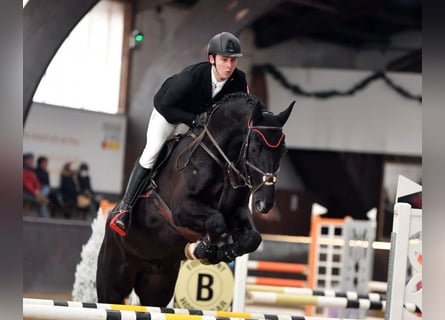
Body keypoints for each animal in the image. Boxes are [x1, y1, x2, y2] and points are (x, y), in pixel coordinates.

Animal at [95, 92, 294, 304]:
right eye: (255, 149)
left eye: (283, 151)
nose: (265, 203)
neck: (220, 159)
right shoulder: (181, 209)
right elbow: (216, 221)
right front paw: (202, 250)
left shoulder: (235, 212)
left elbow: (252, 238)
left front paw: (224, 252)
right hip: (114, 284)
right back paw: (121, 219)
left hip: (157, 285)